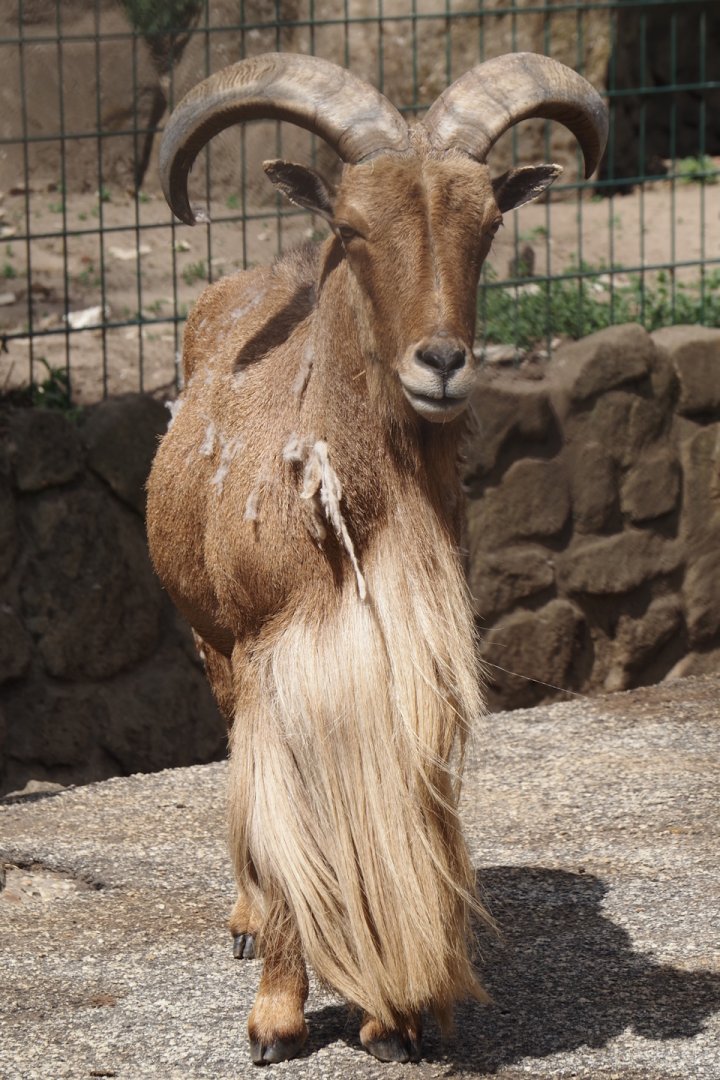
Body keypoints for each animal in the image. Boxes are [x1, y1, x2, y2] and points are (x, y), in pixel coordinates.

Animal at [146, 51, 607, 1066]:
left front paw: (399, 1019)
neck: (351, 513)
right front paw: (276, 1021)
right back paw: (245, 923)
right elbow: (276, 830)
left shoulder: (410, 665)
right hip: (209, 646)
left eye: (488, 223)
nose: (441, 362)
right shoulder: (267, 660)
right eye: (354, 228)